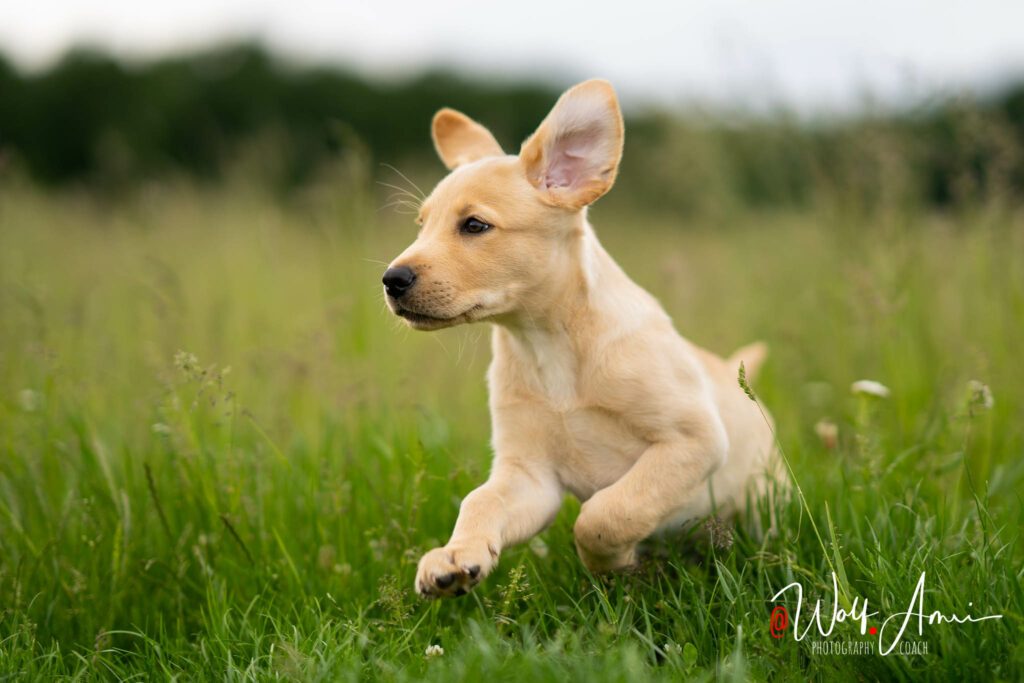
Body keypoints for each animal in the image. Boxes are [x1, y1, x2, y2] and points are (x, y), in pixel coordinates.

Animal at [385, 78, 782, 598]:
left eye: (474, 225)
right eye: (421, 225)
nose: (391, 280)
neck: (546, 344)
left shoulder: (692, 441)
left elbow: (604, 515)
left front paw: (612, 567)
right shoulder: (530, 476)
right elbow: (480, 502)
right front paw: (455, 556)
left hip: (763, 498)